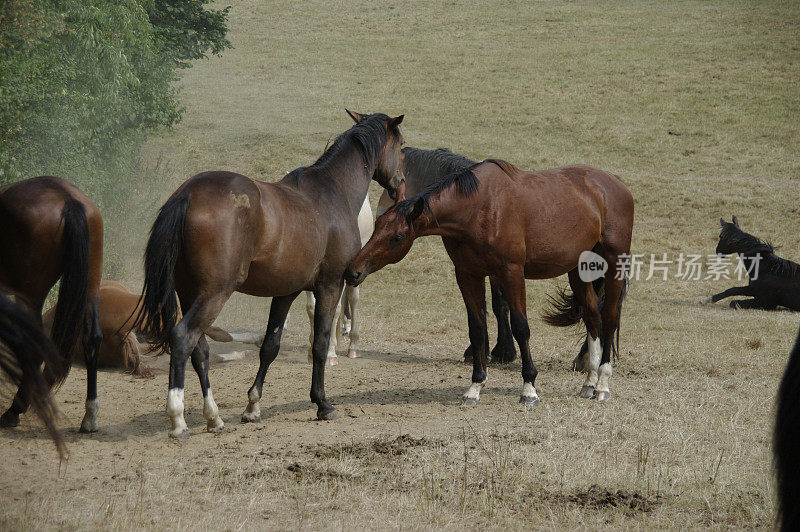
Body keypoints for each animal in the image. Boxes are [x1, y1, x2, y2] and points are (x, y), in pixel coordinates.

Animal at [0, 177, 104, 434]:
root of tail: (67, 199)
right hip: (91, 286)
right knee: (92, 338)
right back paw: (89, 416)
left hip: (31, 295)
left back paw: (15, 409)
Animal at [135, 109, 406, 436]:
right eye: (402, 146)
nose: (400, 184)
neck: (332, 191)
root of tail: (187, 194)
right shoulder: (330, 285)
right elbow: (320, 344)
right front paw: (322, 404)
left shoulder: (285, 292)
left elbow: (270, 347)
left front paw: (253, 406)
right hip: (214, 295)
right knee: (182, 338)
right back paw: (177, 418)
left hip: (190, 295)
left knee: (200, 350)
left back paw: (214, 417)